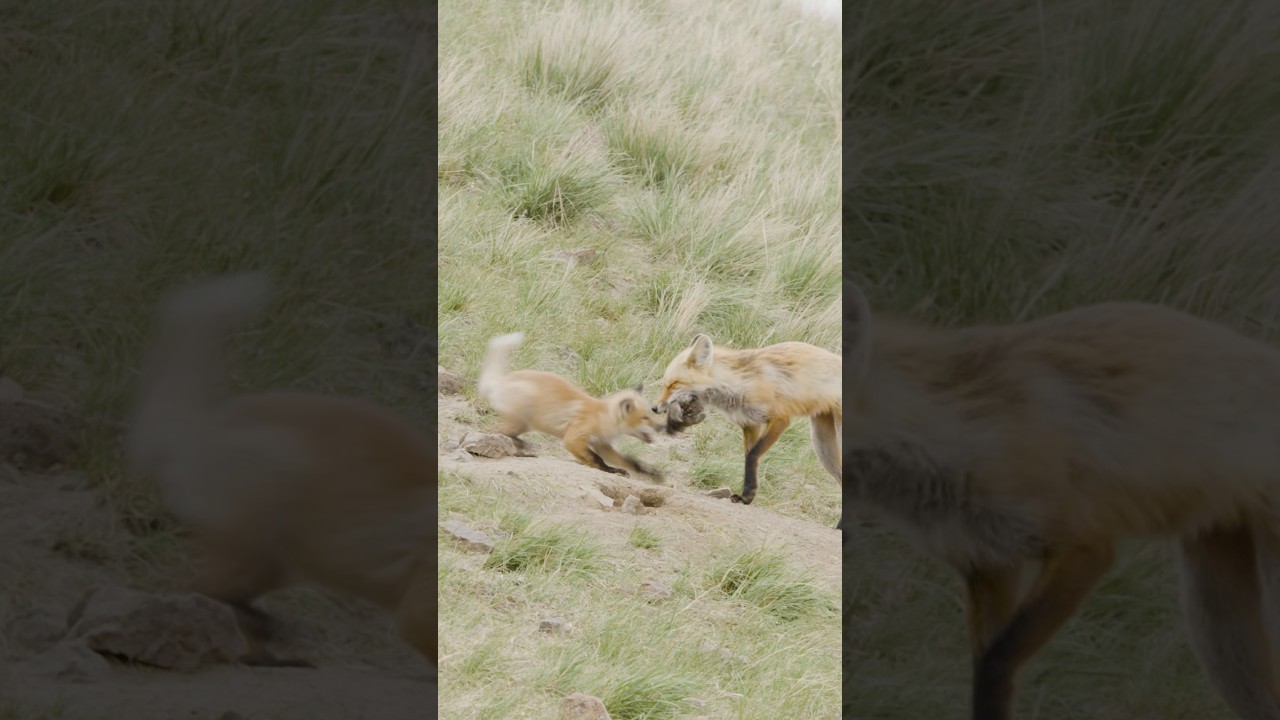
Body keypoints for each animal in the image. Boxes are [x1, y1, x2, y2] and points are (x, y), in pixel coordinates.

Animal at [125, 271, 435, 671]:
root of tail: (206, 423)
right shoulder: (418, 611)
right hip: (262, 536)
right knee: (201, 590)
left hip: (273, 563)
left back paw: (267, 650)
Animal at [477, 332, 665, 482]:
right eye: (645, 418)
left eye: (651, 414)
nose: (662, 426)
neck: (602, 417)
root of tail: (503, 380)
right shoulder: (574, 438)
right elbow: (596, 459)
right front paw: (610, 470)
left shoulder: (603, 445)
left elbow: (631, 461)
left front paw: (651, 473)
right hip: (521, 419)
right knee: (498, 432)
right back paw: (523, 446)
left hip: (523, 424)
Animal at [653, 333, 842, 528]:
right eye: (665, 384)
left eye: (674, 384)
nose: (654, 408)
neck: (739, 384)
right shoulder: (750, 424)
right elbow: (749, 458)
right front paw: (747, 495)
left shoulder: (780, 419)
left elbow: (752, 456)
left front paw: (747, 494)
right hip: (823, 449)